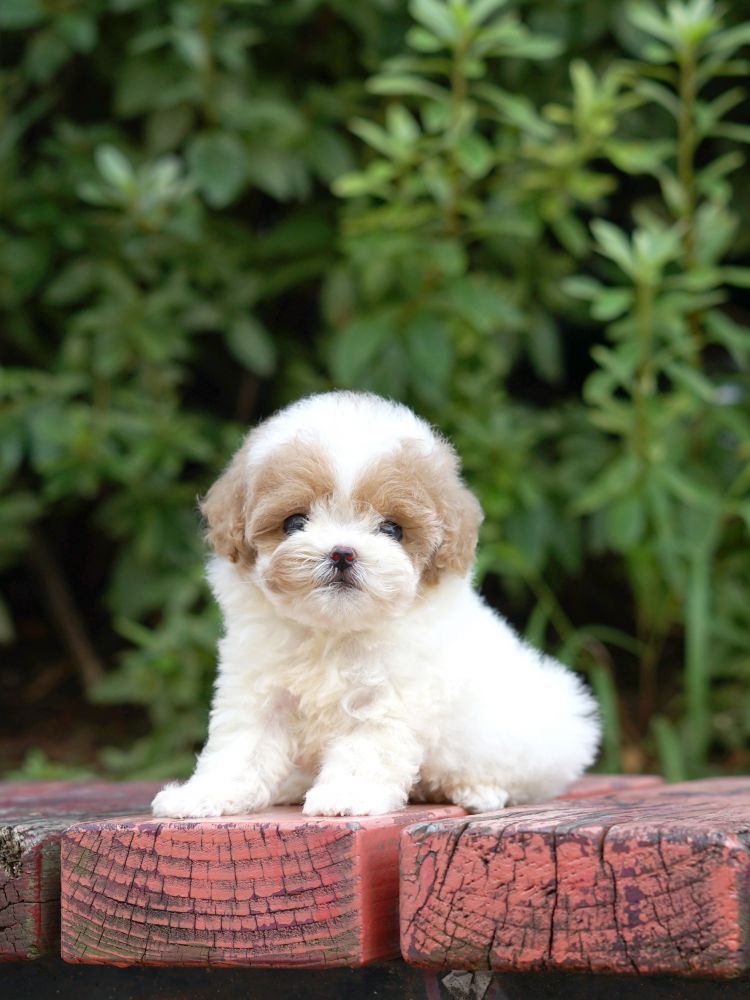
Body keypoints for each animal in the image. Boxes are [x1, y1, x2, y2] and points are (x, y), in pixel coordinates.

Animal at [152, 391, 600, 818]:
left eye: (392, 529)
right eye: (294, 523)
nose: (342, 553)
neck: (333, 630)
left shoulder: (387, 697)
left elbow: (364, 749)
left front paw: (346, 796)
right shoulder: (258, 689)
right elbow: (239, 749)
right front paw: (203, 796)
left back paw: (478, 790)